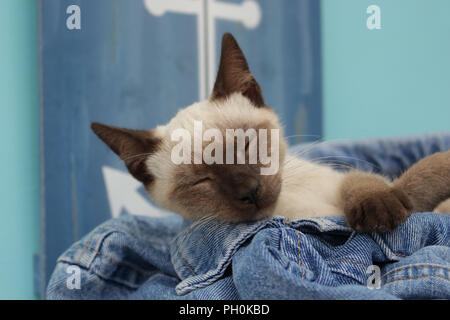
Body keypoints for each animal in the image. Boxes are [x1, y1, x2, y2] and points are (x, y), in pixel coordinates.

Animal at [91, 33, 450, 232]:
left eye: (247, 144)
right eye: (201, 181)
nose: (249, 191)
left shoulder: (343, 182)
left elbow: (376, 181)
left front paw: (379, 208)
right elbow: (413, 186)